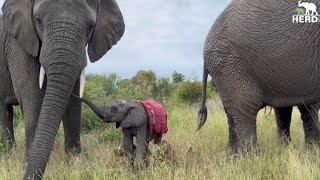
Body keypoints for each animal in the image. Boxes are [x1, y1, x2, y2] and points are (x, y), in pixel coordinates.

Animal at [0, 0, 125, 178]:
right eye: (38, 20)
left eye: (91, 27)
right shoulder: (18, 43)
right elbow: (32, 95)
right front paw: (27, 164)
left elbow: (73, 100)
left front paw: (76, 163)